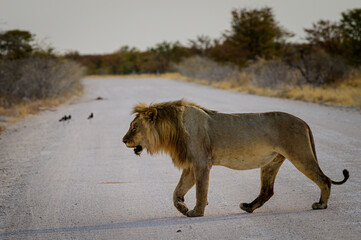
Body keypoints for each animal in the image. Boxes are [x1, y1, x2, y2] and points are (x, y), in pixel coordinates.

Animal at [122, 99, 348, 218]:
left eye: (134, 127)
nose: (123, 140)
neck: (173, 129)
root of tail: (304, 122)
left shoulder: (202, 163)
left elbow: (200, 191)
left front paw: (196, 211)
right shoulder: (191, 166)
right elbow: (176, 192)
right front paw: (183, 208)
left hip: (300, 155)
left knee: (325, 179)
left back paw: (321, 205)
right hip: (272, 162)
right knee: (267, 190)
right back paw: (248, 207)